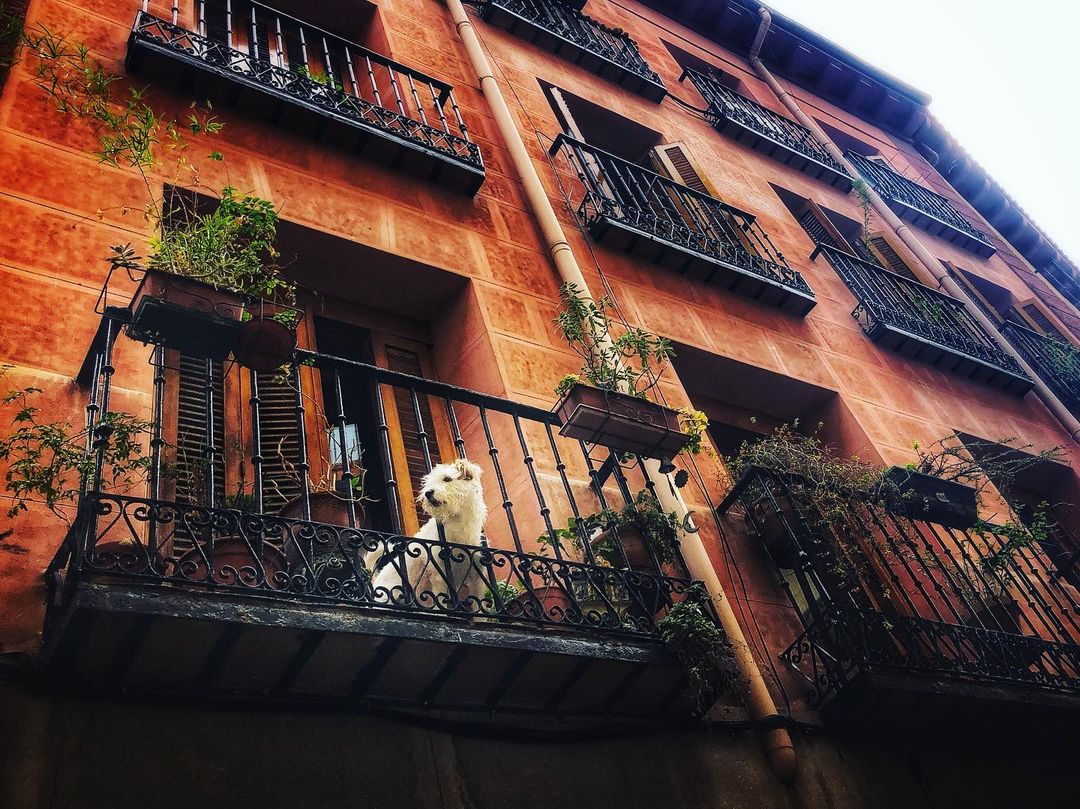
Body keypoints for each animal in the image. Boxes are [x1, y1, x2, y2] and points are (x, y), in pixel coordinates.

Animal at [371, 460, 490, 604]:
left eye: (447, 479)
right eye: (428, 482)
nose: (428, 493)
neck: (458, 522)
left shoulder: (477, 577)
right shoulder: (439, 574)